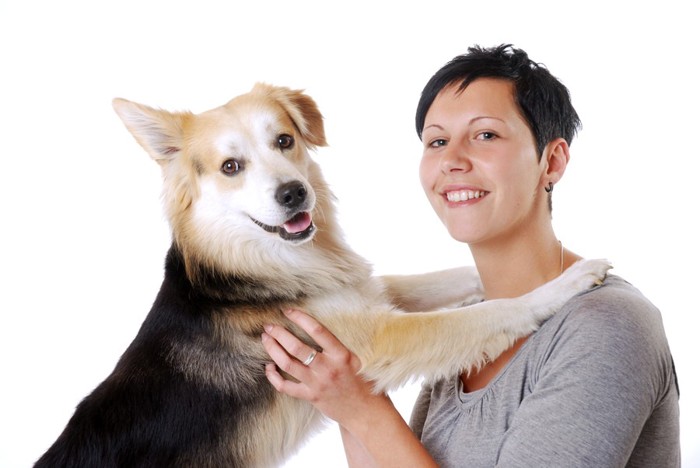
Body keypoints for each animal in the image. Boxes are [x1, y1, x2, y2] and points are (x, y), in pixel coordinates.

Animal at [35, 84, 608, 468]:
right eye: (230, 167)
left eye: (285, 141)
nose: (293, 193)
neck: (256, 262)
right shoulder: (377, 335)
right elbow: (493, 311)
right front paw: (565, 284)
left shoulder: (360, 294)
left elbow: (450, 275)